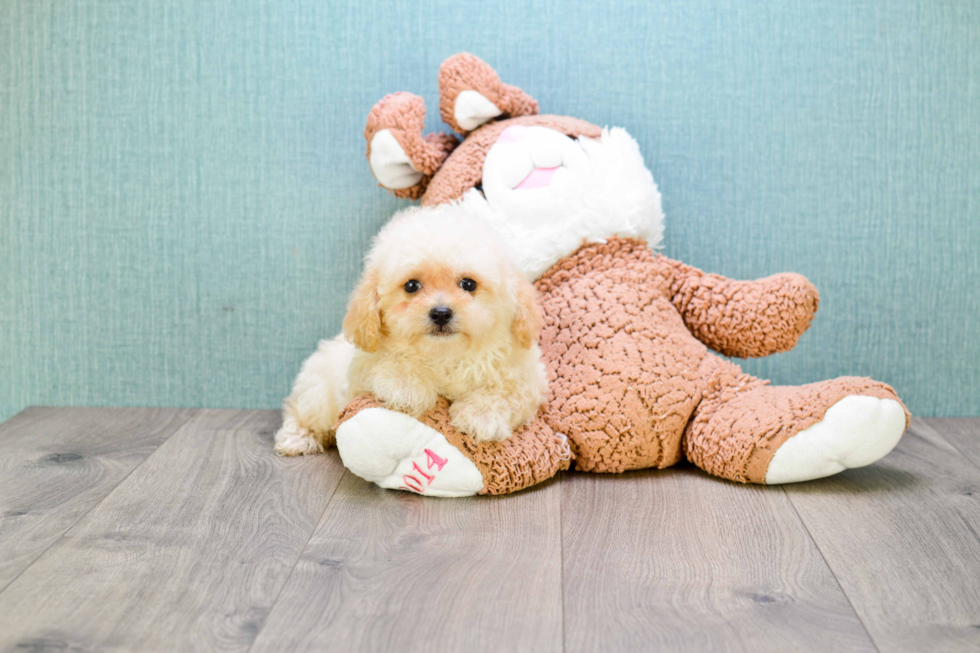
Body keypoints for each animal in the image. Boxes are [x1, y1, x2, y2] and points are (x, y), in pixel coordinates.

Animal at [276, 202, 548, 454]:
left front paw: (481, 416)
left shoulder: (524, 377)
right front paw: (407, 388)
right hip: (318, 394)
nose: (440, 313)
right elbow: (388, 364)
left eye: (469, 284)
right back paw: (297, 438)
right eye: (411, 286)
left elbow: (507, 391)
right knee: (299, 411)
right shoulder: (361, 370)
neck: (446, 355)